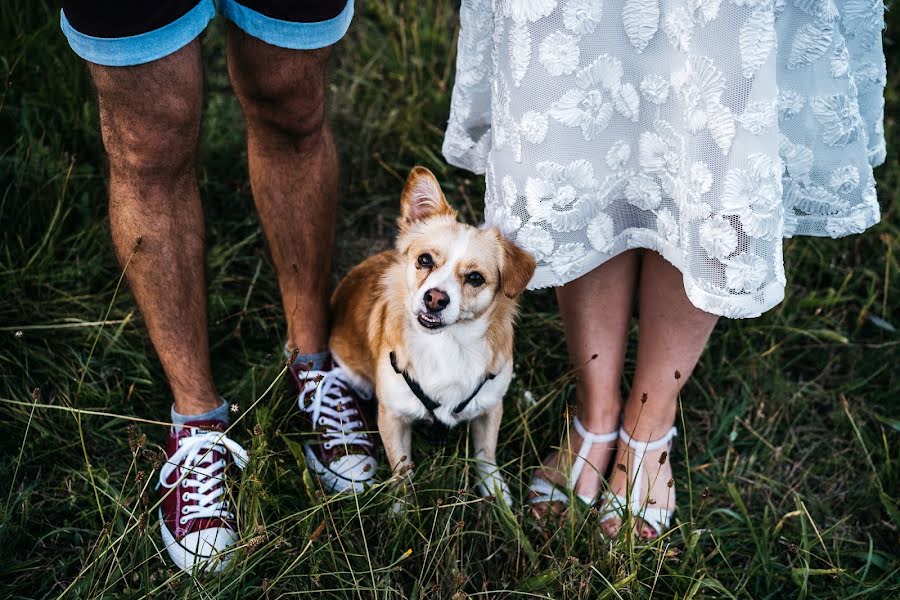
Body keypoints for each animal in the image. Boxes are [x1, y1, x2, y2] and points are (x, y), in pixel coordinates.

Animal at [328, 166, 536, 504]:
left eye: (475, 278)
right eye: (424, 260)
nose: (435, 298)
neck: (448, 345)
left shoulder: (489, 409)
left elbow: (486, 454)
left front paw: (495, 493)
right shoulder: (393, 417)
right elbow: (402, 468)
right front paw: (402, 509)